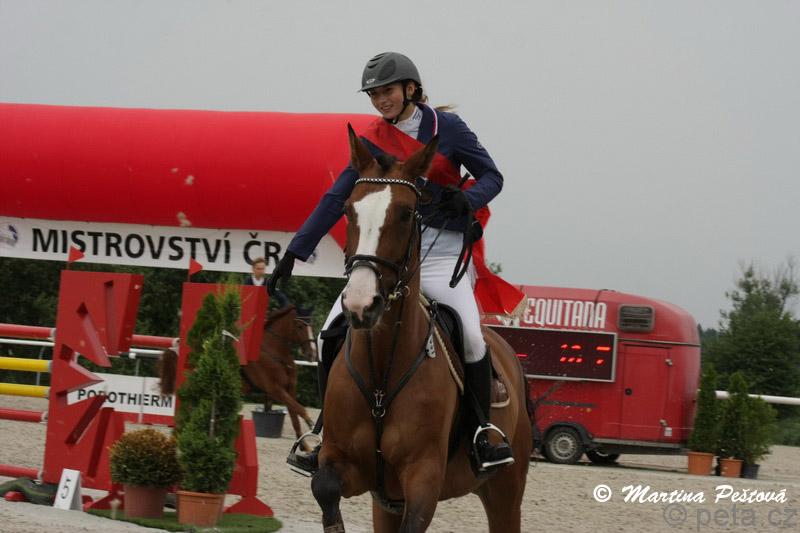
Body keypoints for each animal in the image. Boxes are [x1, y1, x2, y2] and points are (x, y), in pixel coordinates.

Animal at [310, 126, 531, 532]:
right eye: (348, 210)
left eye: (405, 213)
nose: (361, 305)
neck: (381, 373)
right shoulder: (348, 465)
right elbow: (325, 487)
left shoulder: (423, 478)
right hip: (385, 505)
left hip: (505, 491)